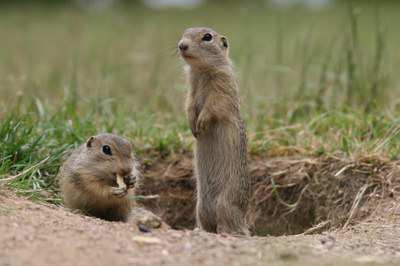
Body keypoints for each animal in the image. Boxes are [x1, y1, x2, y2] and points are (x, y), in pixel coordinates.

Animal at [178, 27, 250, 235]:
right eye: (184, 32)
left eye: (207, 37)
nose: (181, 45)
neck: (201, 71)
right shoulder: (191, 90)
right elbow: (189, 104)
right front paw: (192, 125)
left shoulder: (223, 86)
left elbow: (214, 105)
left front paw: (201, 123)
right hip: (200, 208)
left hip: (225, 204)